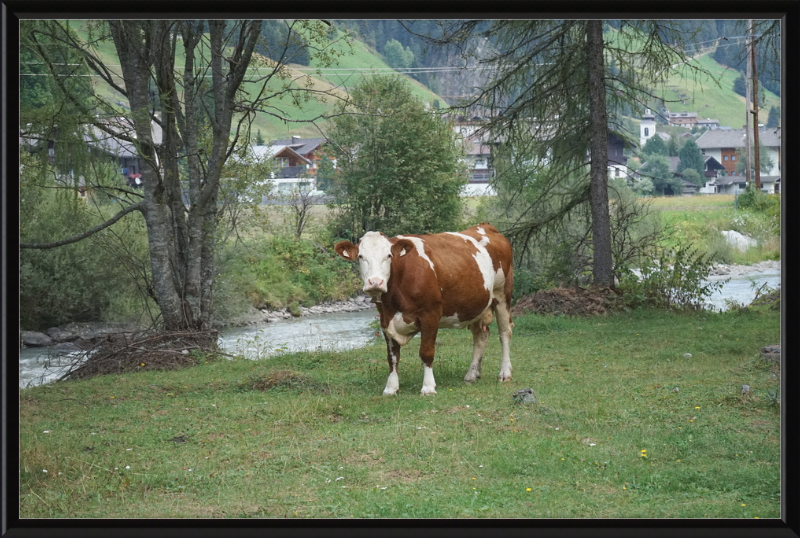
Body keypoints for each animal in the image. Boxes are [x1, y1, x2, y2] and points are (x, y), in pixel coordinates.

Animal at [334, 222, 516, 394]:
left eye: (389, 256)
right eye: (361, 256)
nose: (375, 282)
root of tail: (485, 226)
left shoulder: (430, 315)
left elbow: (426, 353)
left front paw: (428, 387)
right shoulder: (385, 319)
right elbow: (392, 357)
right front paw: (391, 388)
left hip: (502, 295)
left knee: (504, 333)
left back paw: (505, 373)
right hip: (475, 305)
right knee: (480, 336)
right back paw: (472, 374)